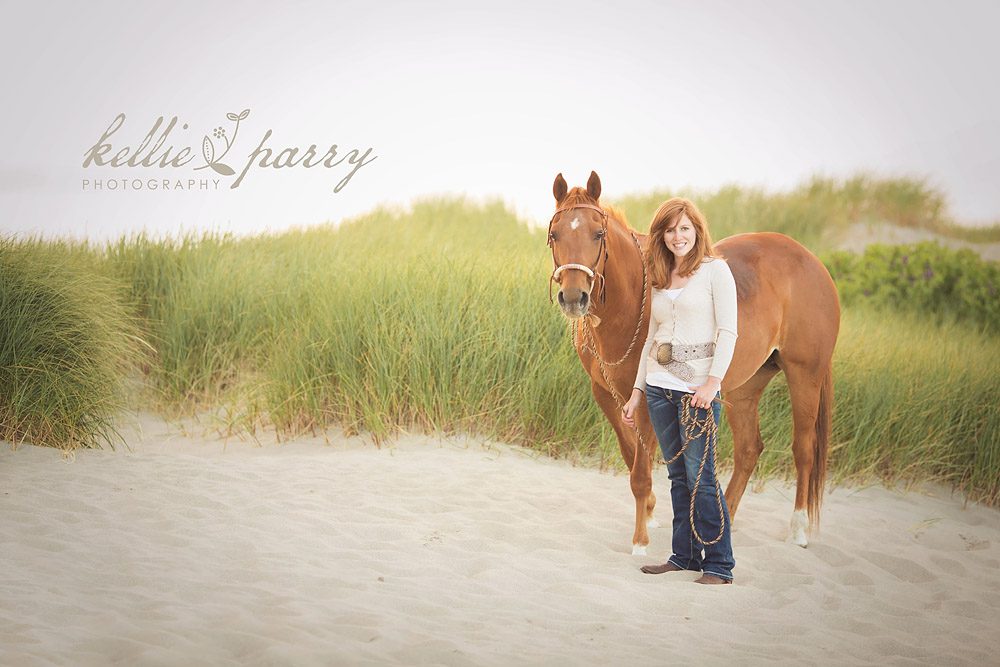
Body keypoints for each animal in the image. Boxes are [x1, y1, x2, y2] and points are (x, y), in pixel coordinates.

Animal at [547, 171, 840, 552]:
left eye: (598, 234)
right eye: (555, 234)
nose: (573, 297)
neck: (628, 302)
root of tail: (814, 263)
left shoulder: (647, 399)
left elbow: (640, 472)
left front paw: (640, 541)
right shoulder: (606, 396)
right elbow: (630, 457)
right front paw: (652, 512)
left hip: (805, 375)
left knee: (804, 448)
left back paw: (799, 529)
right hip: (745, 386)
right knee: (749, 449)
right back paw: (726, 520)